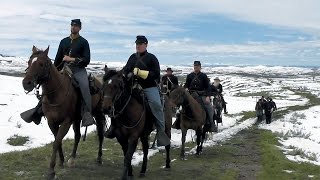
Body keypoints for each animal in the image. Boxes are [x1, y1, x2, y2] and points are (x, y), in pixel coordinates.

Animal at [21, 46, 106, 180]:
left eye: (41, 64)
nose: (26, 83)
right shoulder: (52, 122)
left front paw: (51, 170)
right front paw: (61, 161)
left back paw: (99, 158)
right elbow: (58, 140)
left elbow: (56, 142)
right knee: (77, 135)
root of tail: (99, 82)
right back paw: (72, 159)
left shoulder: (66, 122)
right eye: (29, 62)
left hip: (97, 114)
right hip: (77, 119)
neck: (56, 94)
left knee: (100, 135)